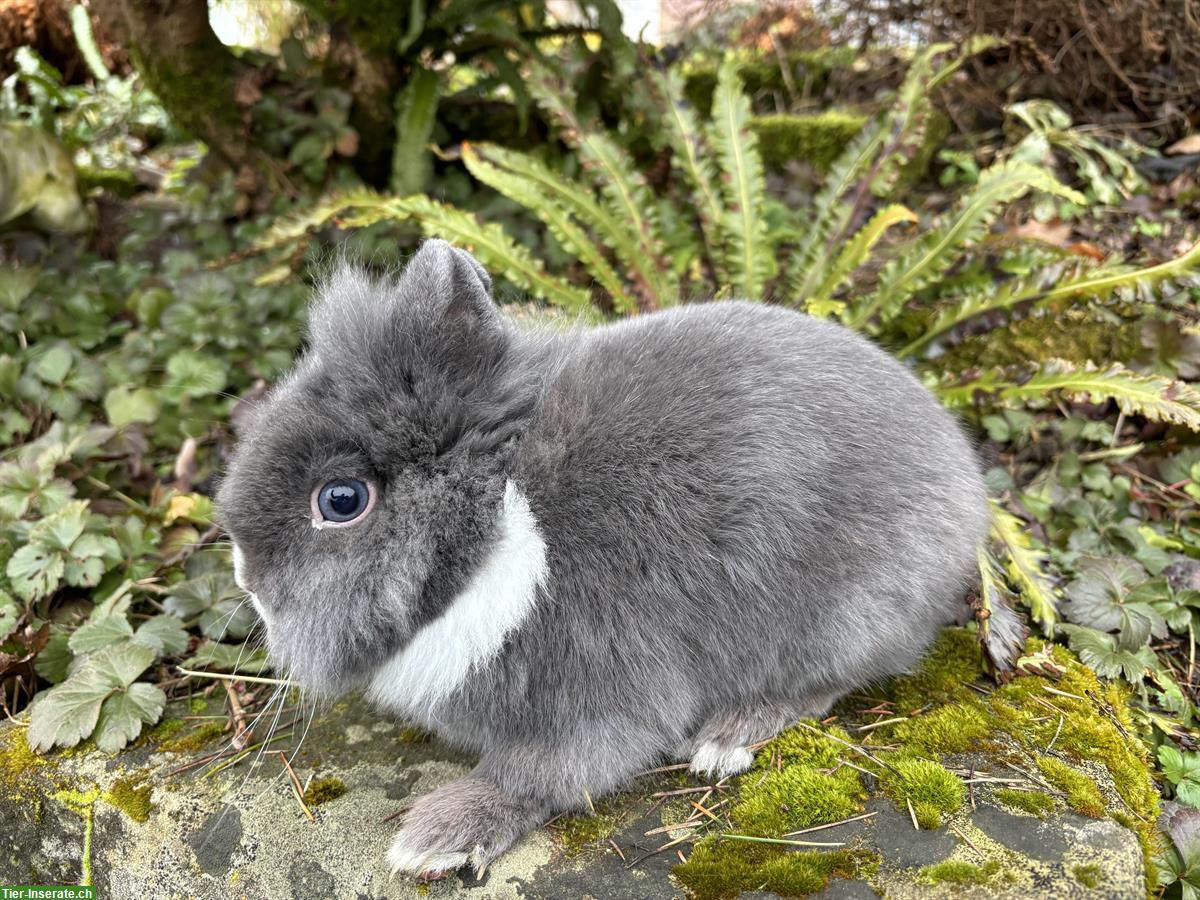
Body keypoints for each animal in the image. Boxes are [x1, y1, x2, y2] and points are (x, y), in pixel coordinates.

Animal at [216, 240, 993, 883]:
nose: (246, 581)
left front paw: (434, 840)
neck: (504, 525)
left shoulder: (593, 693)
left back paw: (726, 739)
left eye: (341, 499)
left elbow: (537, 776)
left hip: (843, 620)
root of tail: (969, 495)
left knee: (824, 684)